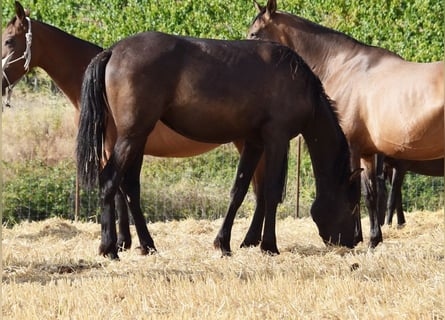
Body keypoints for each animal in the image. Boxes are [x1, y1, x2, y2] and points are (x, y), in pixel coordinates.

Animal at [76, 31, 360, 258]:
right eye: (352, 204)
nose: (355, 240)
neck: (299, 83)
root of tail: (112, 51)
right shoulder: (276, 140)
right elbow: (271, 192)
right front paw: (268, 245)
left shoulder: (254, 143)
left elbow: (239, 190)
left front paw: (223, 243)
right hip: (132, 137)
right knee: (110, 181)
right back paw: (109, 248)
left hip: (137, 139)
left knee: (130, 188)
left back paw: (147, 245)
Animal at [248, 0, 442, 248]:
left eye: (254, 33)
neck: (343, 65)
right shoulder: (368, 151)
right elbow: (371, 193)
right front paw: (373, 239)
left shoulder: (352, 147)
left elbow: (355, 191)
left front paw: (358, 237)